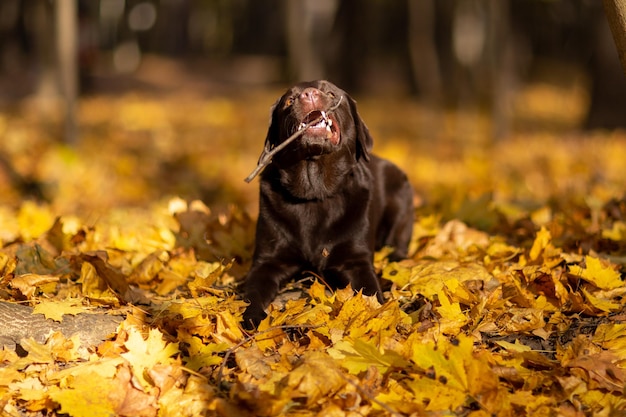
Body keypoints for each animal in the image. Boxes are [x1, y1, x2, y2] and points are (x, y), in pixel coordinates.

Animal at [241, 80, 412, 328]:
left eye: (331, 93)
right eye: (289, 100)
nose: (308, 94)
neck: (315, 193)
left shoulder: (356, 261)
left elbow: (371, 293)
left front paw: (379, 316)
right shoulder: (267, 262)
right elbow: (252, 293)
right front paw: (251, 318)